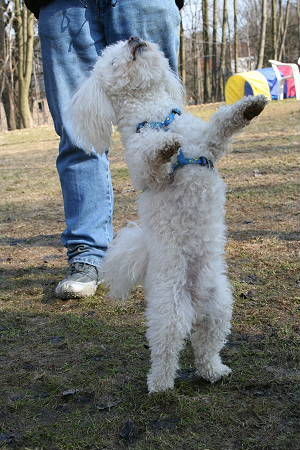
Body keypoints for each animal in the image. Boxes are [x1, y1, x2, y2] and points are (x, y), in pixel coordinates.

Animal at [67, 37, 268, 392]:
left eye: (127, 43)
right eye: (116, 59)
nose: (135, 39)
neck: (157, 116)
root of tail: (193, 296)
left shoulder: (208, 144)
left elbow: (222, 125)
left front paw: (250, 106)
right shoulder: (145, 169)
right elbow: (152, 157)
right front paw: (165, 146)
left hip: (219, 305)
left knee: (206, 343)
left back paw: (213, 371)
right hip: (169, 306)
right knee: (167, 346)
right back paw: (159, 384)